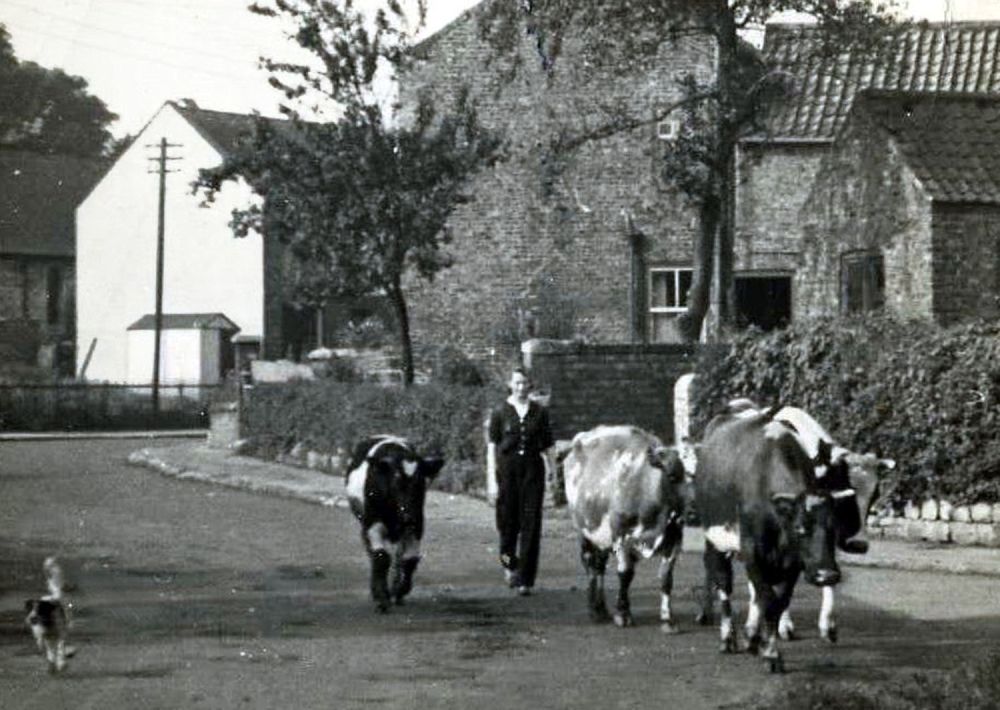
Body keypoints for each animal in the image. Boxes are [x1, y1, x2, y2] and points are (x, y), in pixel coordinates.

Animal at [346, 436, 444, 616]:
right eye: (396, 481)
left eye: (420, 484)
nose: (407, 517)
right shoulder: (372, 523)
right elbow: (381, 557)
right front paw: (381, 598)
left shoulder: (417, 524)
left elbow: (410, 559)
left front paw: (399, 590)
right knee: (376, 554)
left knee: (398, 555)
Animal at [564, 428, 688, 636]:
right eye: (672, 475)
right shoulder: (620, 536)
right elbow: (625, 574)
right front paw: (623, 614)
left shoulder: (673, 539)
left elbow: (666, 579)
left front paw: (667, 619)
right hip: (585, 531)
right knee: (591, 565)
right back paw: (594, 610)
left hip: (602, 538)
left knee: (600, 567)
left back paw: (602, 609)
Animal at [696, 408, 844, 672]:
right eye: (799, 528)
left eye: (834, 528)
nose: (827, 575)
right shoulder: (752, 552)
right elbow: (768, 599)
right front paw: (772, 653)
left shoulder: (793, 562)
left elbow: (779, 602)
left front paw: (766, 646)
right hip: (714, 538)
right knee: (723, 583)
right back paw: (727, 638)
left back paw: (752, 636)